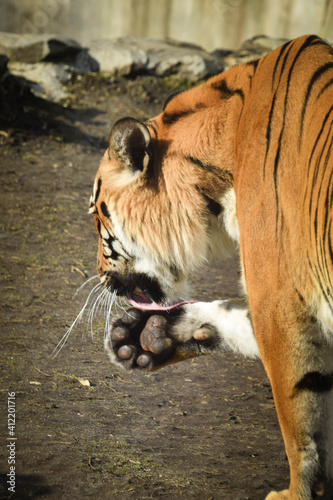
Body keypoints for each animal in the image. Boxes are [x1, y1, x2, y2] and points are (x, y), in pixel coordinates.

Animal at [87, 33, 332, 498]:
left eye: (96, 216)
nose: (98, 276)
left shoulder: (280, 301)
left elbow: (301, 419)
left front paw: (296, 493)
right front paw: (146, 335)